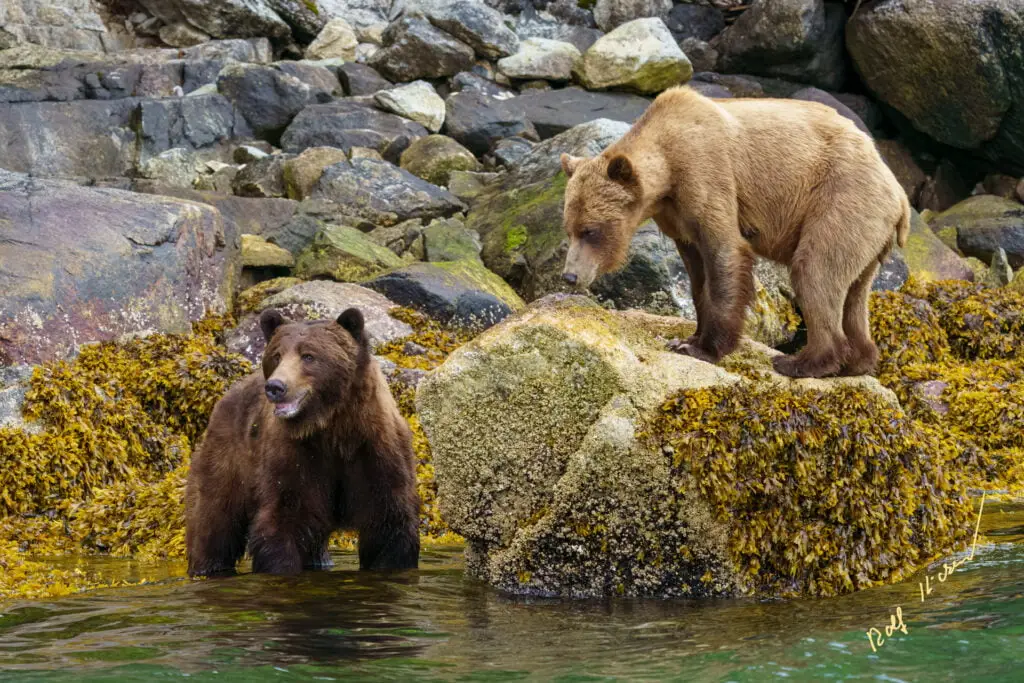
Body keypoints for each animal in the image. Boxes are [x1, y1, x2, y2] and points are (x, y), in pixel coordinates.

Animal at [185, 307, 420, 577]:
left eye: (309, 355)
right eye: (276, 355)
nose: (275, 386)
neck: (332, 426)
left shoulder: (376, 452)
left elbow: (389, 527)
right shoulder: (296, 457)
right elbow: (284, 520)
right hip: (228, 460)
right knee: (213, 522)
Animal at [559, 85, 910, 378]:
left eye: (590, 230)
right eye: (569, 229)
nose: (570, 276)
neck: (667, 170)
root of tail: (899, 193)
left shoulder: (706, 174)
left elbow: (725, 254)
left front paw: (703, 348)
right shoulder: (678, 219)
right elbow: (697, 275)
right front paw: (688, 337)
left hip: (840, 201)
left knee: (815, 272)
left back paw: (801, 362)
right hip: (866, 232)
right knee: (855, 293)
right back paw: (858, 360)